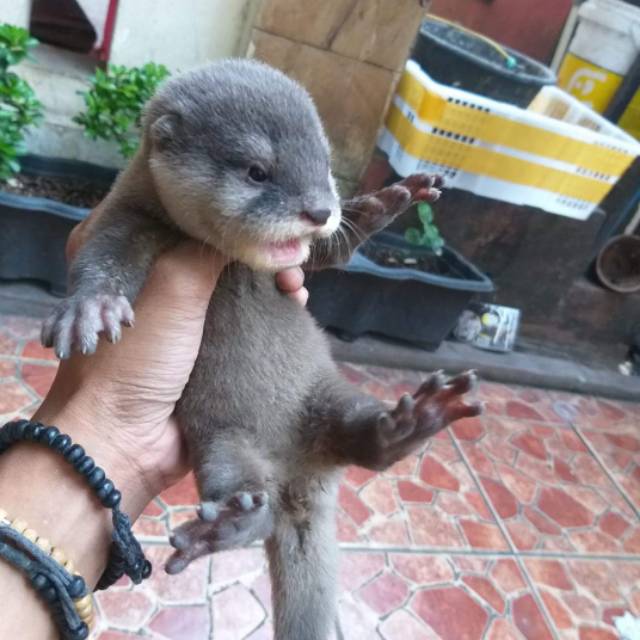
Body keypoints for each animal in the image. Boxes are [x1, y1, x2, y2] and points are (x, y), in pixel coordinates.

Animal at [42, 59, 480, 639]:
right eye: (257, 172)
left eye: (324, 166)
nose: (319, 209)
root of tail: (299, 483)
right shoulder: (125, 213)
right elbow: (105, 253)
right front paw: (90, 306)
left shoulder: (301, 262)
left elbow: (330, 254)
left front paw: (387, 203)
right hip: (223, 442)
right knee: (257, 500)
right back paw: (229, 524)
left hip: (327, 392)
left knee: (364, 440)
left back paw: (410, 422)